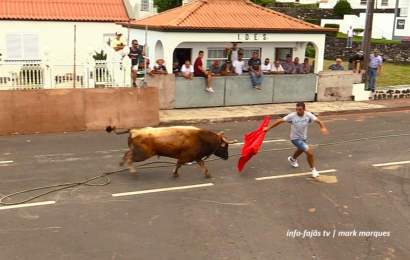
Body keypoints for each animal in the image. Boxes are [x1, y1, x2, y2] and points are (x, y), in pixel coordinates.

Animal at [105, 125, 235, 178]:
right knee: (130, 158)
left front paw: (207, 173)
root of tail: (134, 131)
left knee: (127, 153)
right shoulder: (186, 157)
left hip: (138, 152)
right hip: (142, 154)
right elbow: (179, 164)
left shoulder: (196, 156)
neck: (201, 137)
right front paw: (175, 173)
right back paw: (133, 172)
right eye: (225, 147)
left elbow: (202, 164)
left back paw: (122, 163)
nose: (227, 157)